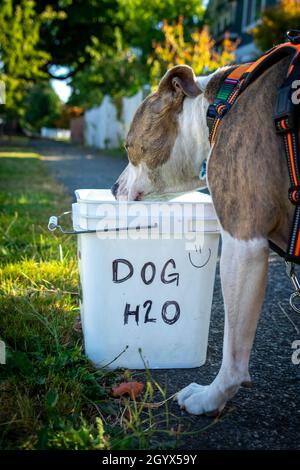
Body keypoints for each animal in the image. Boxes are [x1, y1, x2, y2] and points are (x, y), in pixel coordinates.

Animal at [110, 58, 292, 414]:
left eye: (128, 147)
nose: (112, 188)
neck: (215, 109)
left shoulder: (243, 243)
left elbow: (233, 351)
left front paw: (212, 396)